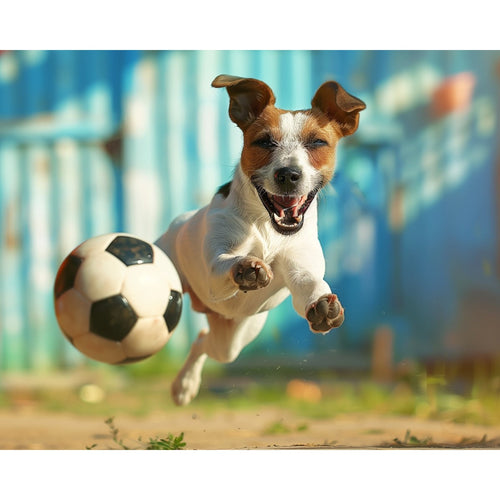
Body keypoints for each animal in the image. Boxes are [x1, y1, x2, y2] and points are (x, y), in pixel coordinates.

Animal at [155, 74, 364, 404]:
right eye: (264, 141)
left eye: (317, 142)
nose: (288, 174)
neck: (269, 231)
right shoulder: (215, 269)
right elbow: (225, 263)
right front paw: (245, 268)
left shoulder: (300, 266)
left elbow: (309, 285)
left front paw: (322, 305)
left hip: (236, 334)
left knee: (203, 341)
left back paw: (185, 385)